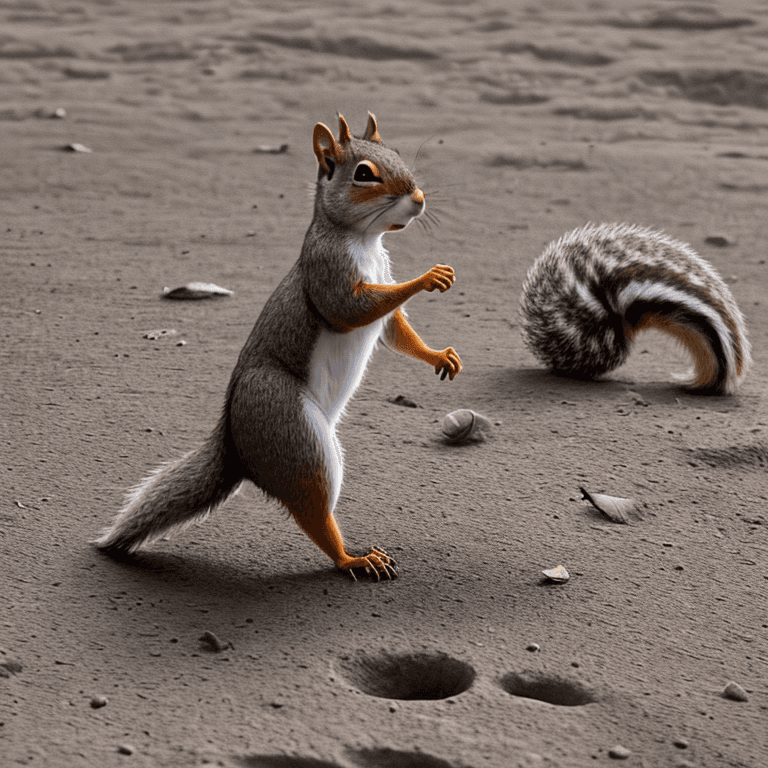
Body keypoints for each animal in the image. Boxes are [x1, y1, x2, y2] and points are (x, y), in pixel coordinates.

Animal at [94, 113, 462, 580]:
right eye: (363, 174)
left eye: (396, 152)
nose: (418, 198)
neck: (365, 240)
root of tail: (236, 448)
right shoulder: (327, 272)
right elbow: (350, 309)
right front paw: (429, 277)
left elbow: (394, 329)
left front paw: (440, 355)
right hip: (292, 430)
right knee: (311, 506)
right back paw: (351, 558)